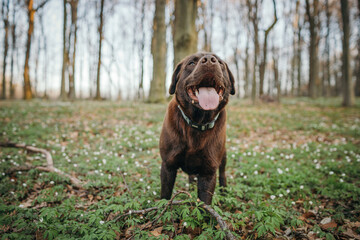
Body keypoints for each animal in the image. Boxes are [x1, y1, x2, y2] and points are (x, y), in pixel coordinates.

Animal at [159, 52, 235, 204]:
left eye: (220, 63)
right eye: (191, 63)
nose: (210, 61)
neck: (197, 122)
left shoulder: (208, 172)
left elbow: (205, 203)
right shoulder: (168, 165)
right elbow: (165, 195)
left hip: (223, 156)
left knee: (223, 173)